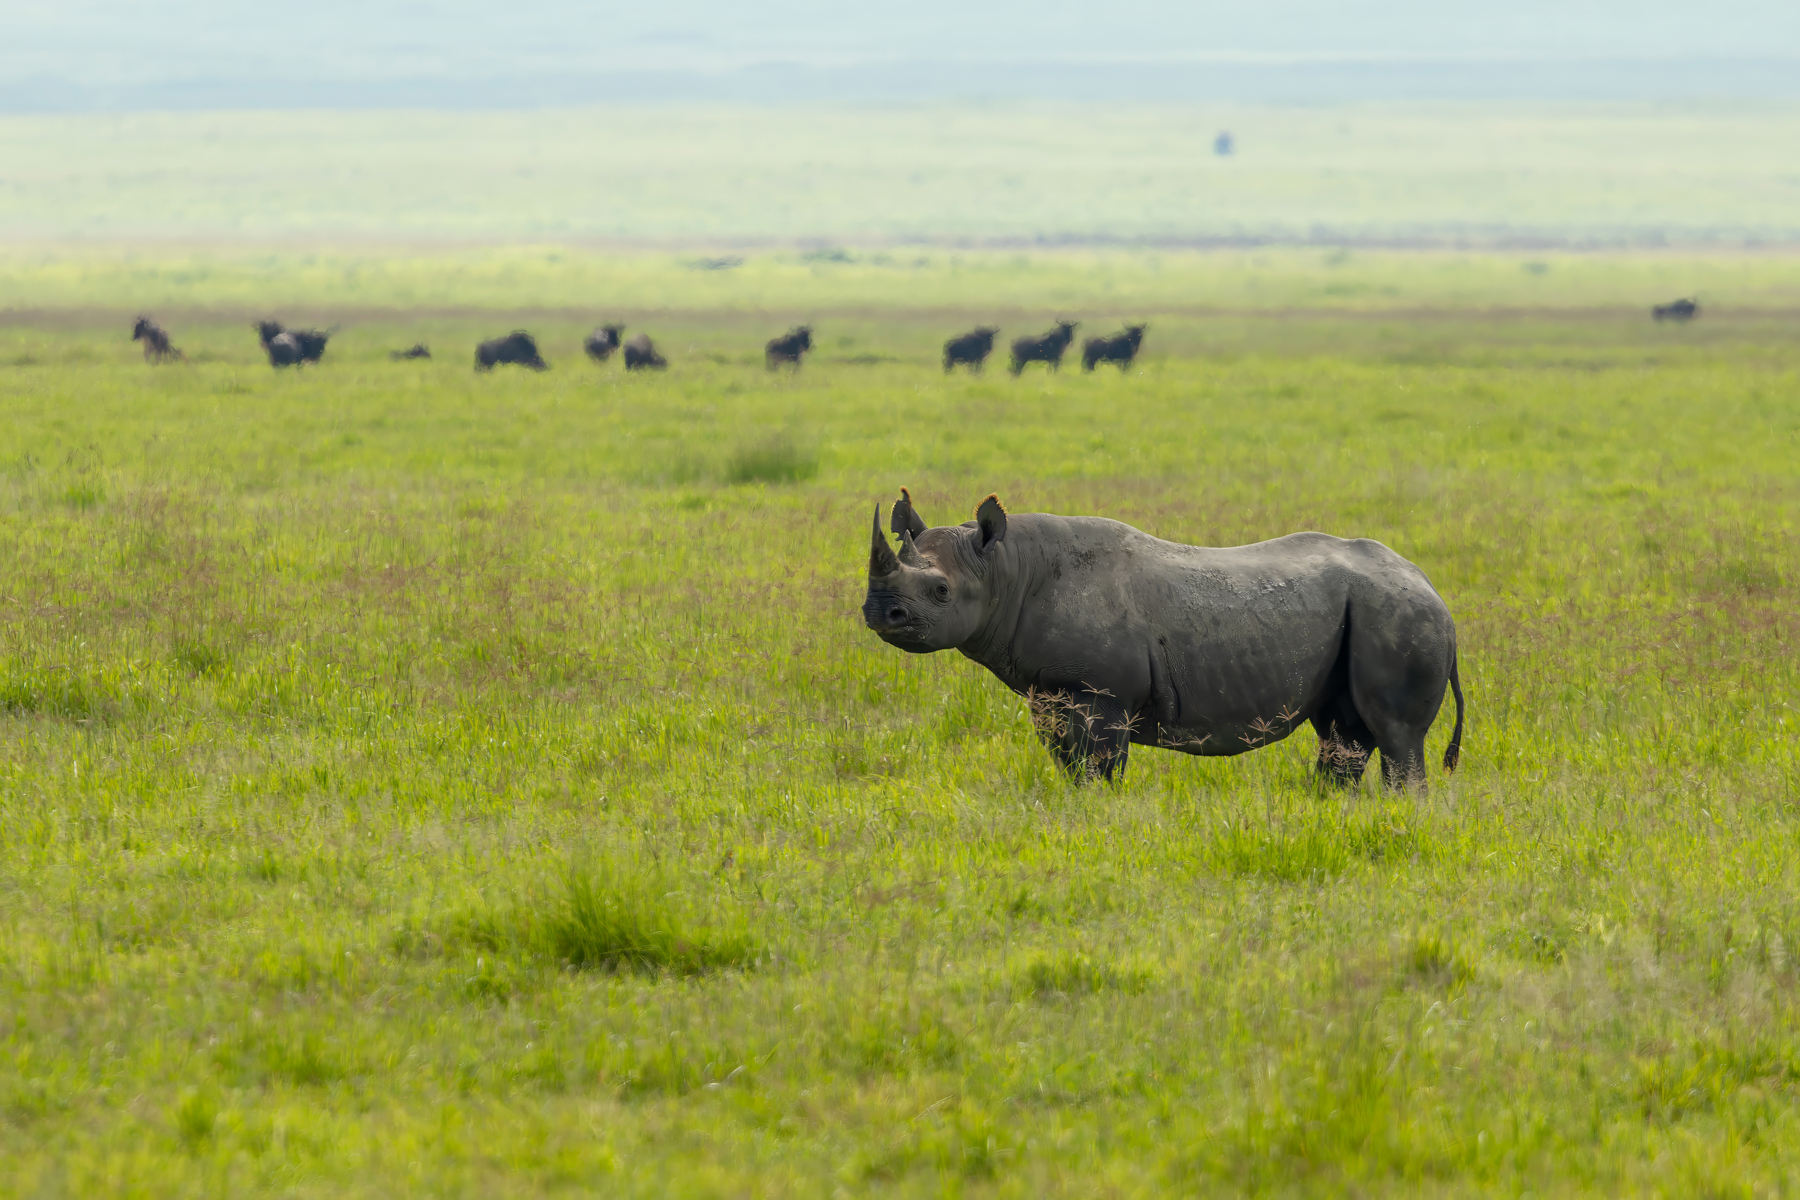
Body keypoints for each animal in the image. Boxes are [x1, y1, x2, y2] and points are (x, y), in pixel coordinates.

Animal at [861, 490, 1464, 788]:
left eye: (941, 590)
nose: (878, 613)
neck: (1006, 569)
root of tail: (1432, 587)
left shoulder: (1103, 695)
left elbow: (1099, 769)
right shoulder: (1049, 692)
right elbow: (1067, 765)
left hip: (1399, 611)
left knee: (1397, 736)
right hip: (1369, 612)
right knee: (1344, 731)